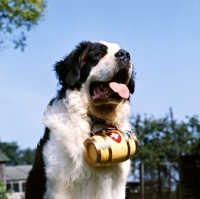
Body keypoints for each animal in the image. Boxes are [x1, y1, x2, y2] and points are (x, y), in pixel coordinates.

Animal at [24, 40, 134, 199]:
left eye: (124, 53)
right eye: (99, 54)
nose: (125, 55)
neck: (94, 119)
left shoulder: (117, 186)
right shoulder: (59, 184)